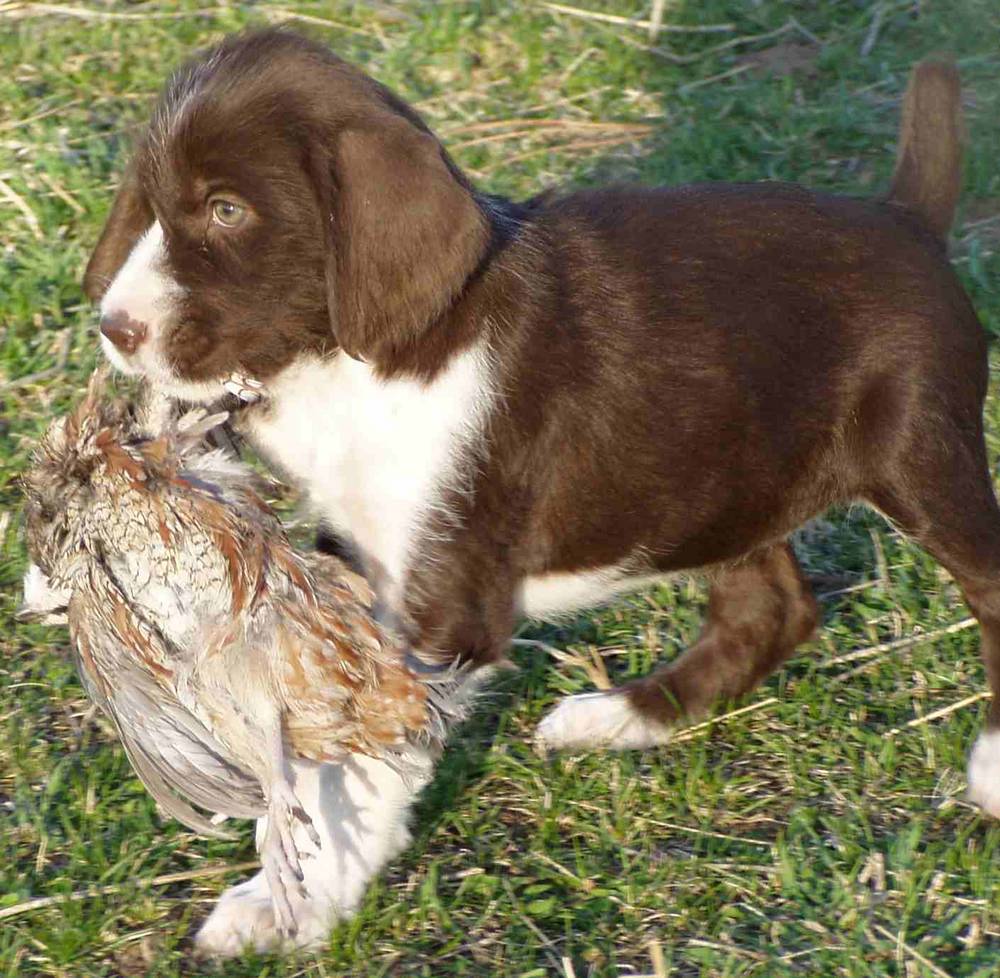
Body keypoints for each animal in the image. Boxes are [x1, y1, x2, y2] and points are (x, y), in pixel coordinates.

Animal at [86, 30, 1000, 952]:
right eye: (153, 203)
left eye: (226, 211)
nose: (113, 328)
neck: (353, 366)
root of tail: (907, 222)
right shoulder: (361, 559)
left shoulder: (442, 609)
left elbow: (359, 766)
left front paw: (294, 903)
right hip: (720, 478)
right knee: (770, 610)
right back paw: (624, 716)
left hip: (918, 453)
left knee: (985, 583)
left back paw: (991, 766)